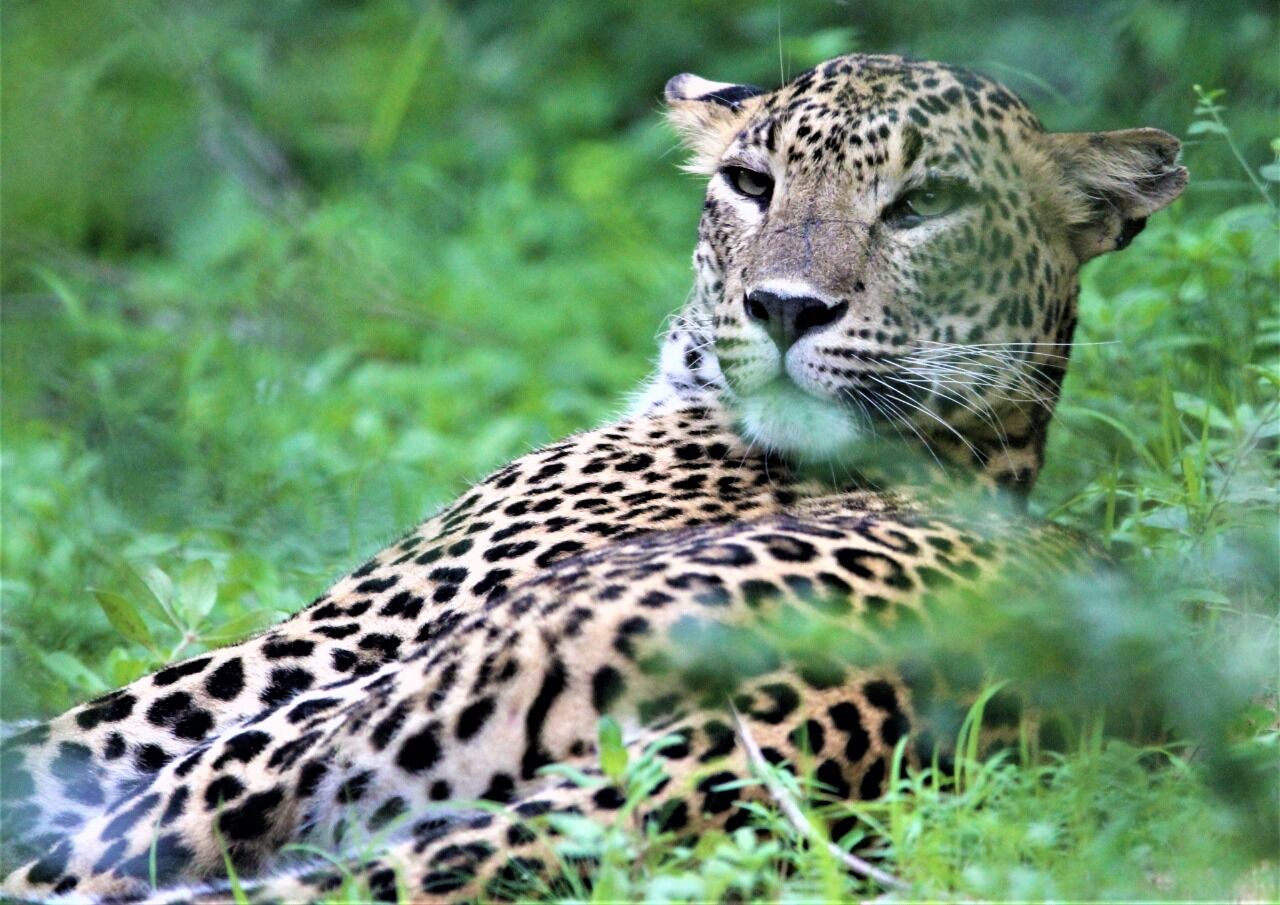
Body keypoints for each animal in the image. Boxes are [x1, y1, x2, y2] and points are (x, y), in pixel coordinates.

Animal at [0, 53, 1182, 901]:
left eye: (922, 204)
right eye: (750, 184)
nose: (784, 307)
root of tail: (754, 741)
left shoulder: (302, 649)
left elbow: (53, 731)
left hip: (304, 734)